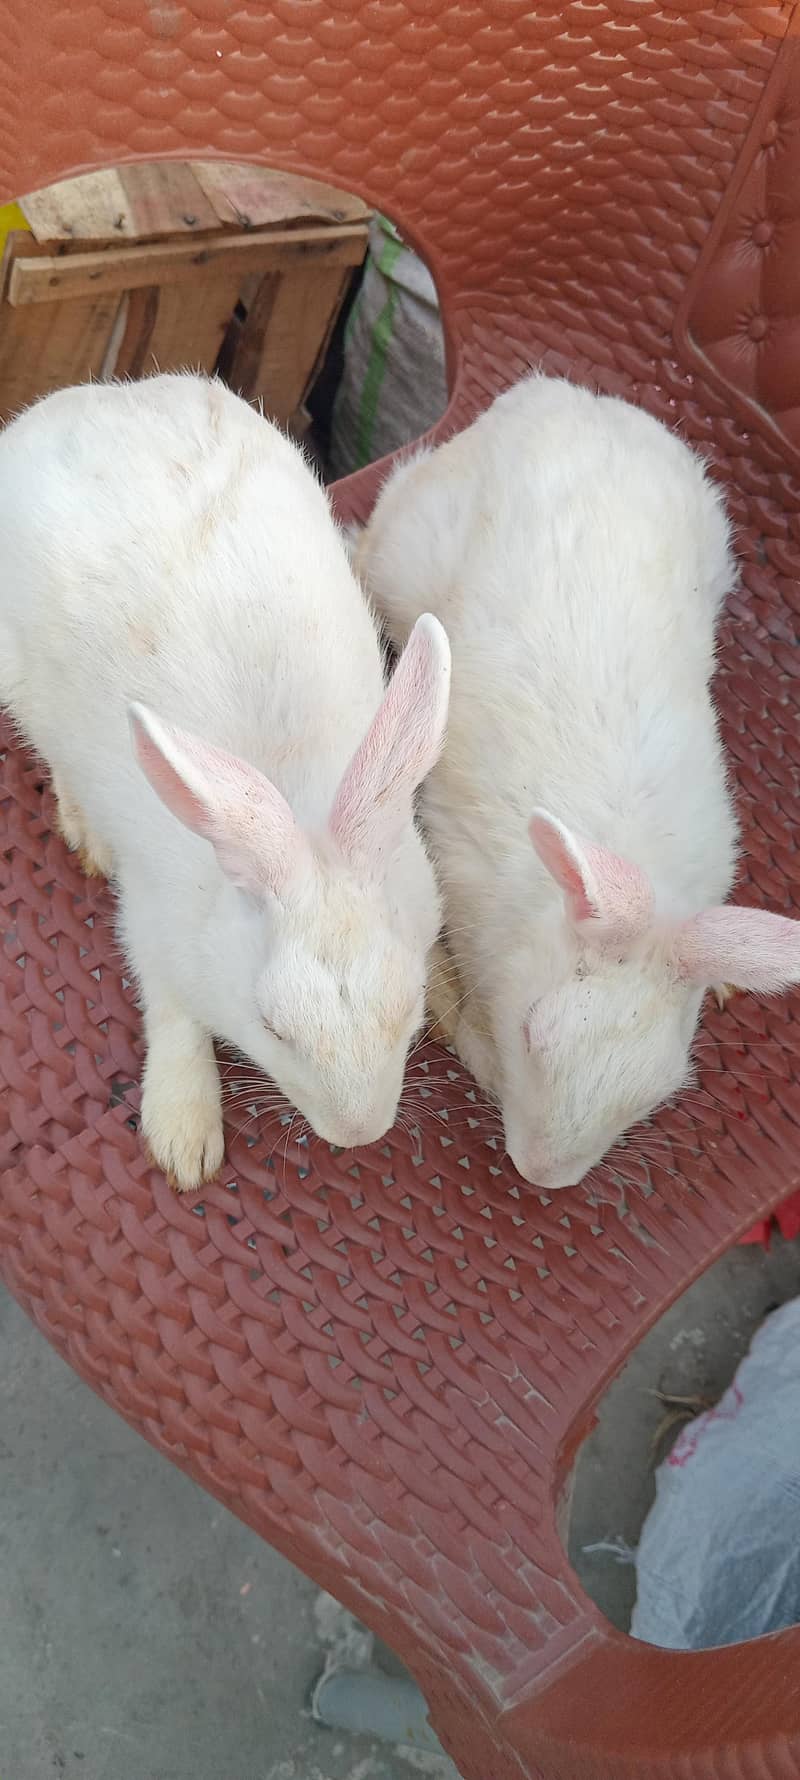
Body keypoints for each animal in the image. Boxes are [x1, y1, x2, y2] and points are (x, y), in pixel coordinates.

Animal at [0, 373, 450, 1191]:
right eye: (273, 1028)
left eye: (408, 1005)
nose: (359, 1133)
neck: (297, 806)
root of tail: (90, 397)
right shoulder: (155, 925)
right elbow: (174, 1015)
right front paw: (184, 1136)